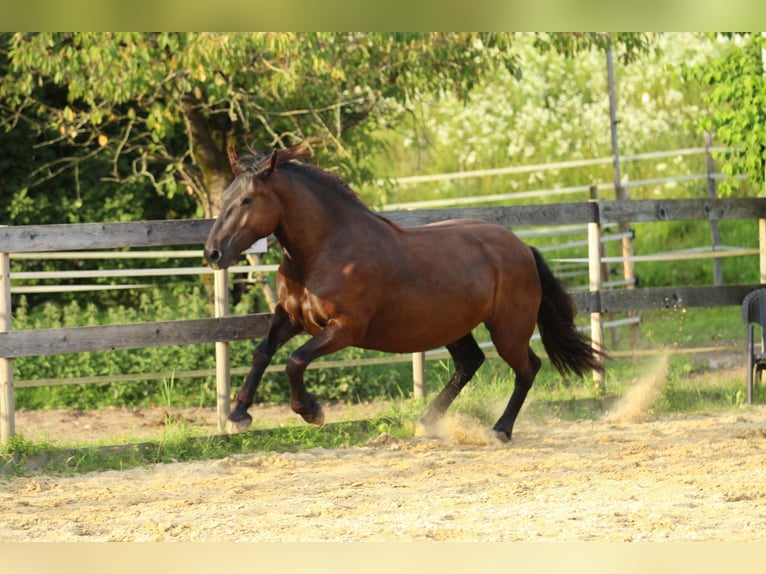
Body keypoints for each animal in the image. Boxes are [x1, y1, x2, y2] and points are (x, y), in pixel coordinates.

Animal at [204, 146, 608, 444]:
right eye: (226, 197)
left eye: (247, 200)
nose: (213, 253)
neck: (325, 249)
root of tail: (523, 247)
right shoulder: (291, 316)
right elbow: (262, 352)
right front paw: (238, 414)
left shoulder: (345, 328)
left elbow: (295, 360)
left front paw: (311, 411)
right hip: (452, 327)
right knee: (471, 362)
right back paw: (427, 421)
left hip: (507, 329)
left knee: (528, 368)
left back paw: (499, 430)